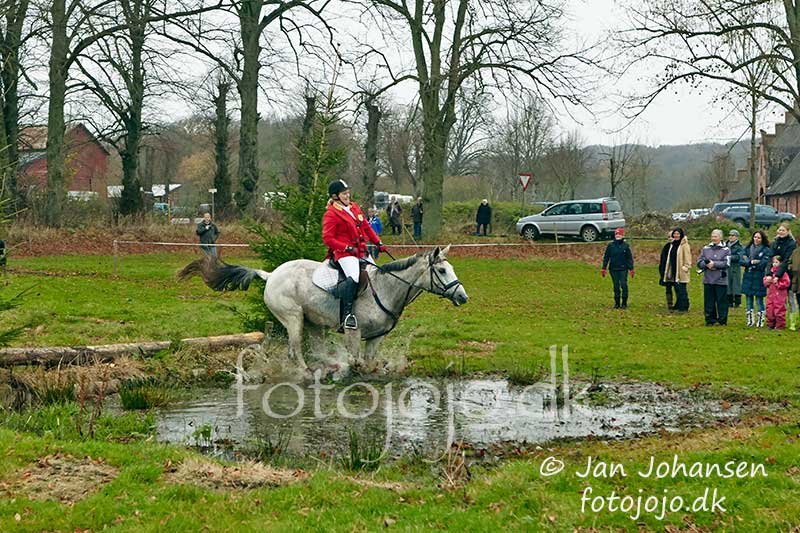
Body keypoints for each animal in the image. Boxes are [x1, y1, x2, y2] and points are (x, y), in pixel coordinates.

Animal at [178, 245, 468, 370]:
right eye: (442, 270)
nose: (463, 297)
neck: (386, 288)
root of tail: (270, 275)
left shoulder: (376, 337)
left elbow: (370, 362)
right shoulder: (354, 332)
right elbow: (355, 360)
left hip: (313, 323)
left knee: (312, 349)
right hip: (293, 318)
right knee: (295, 351)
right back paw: (305, 374)